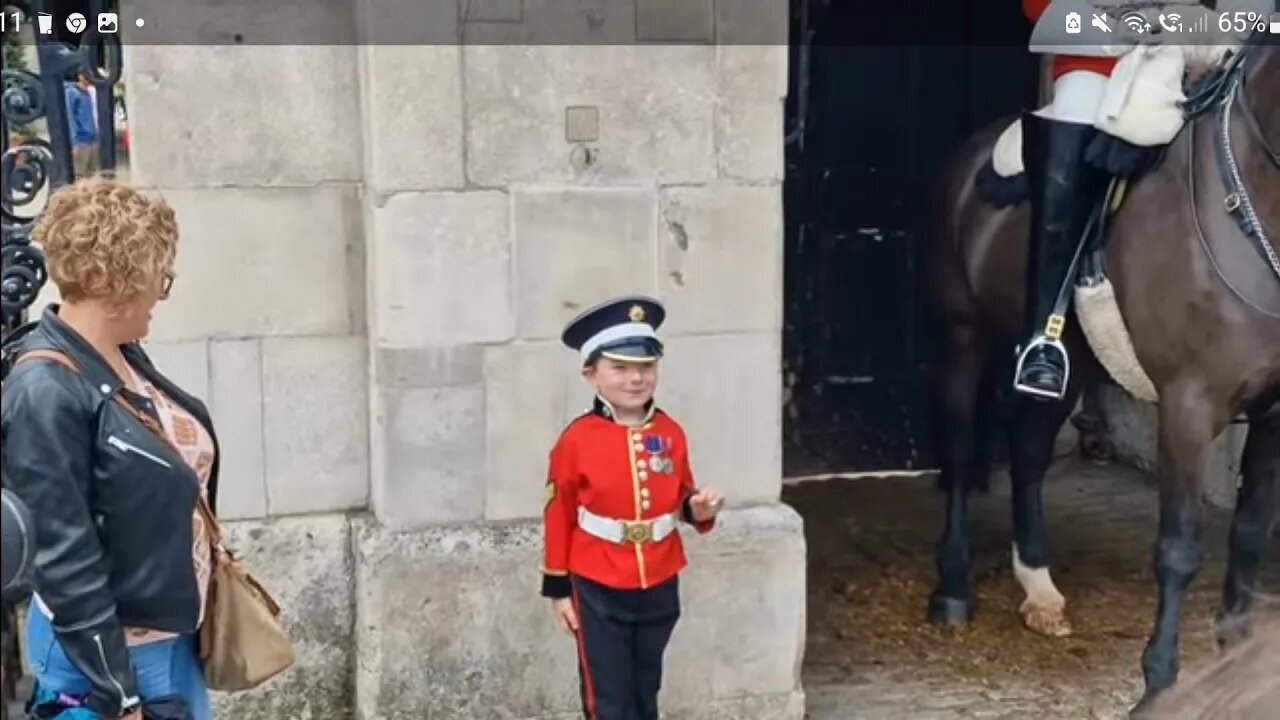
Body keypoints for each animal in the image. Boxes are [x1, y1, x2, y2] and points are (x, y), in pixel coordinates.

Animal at [926, 33, 1274, 712]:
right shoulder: (1189, 407)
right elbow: (1179, 548)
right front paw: (1159, 685)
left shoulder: (1277, 414)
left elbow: (1247, 537)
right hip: (962, 333)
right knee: (960, 450)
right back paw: (953, 588)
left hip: (1071, 361)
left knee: (1029, 450)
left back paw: (1038, 588)